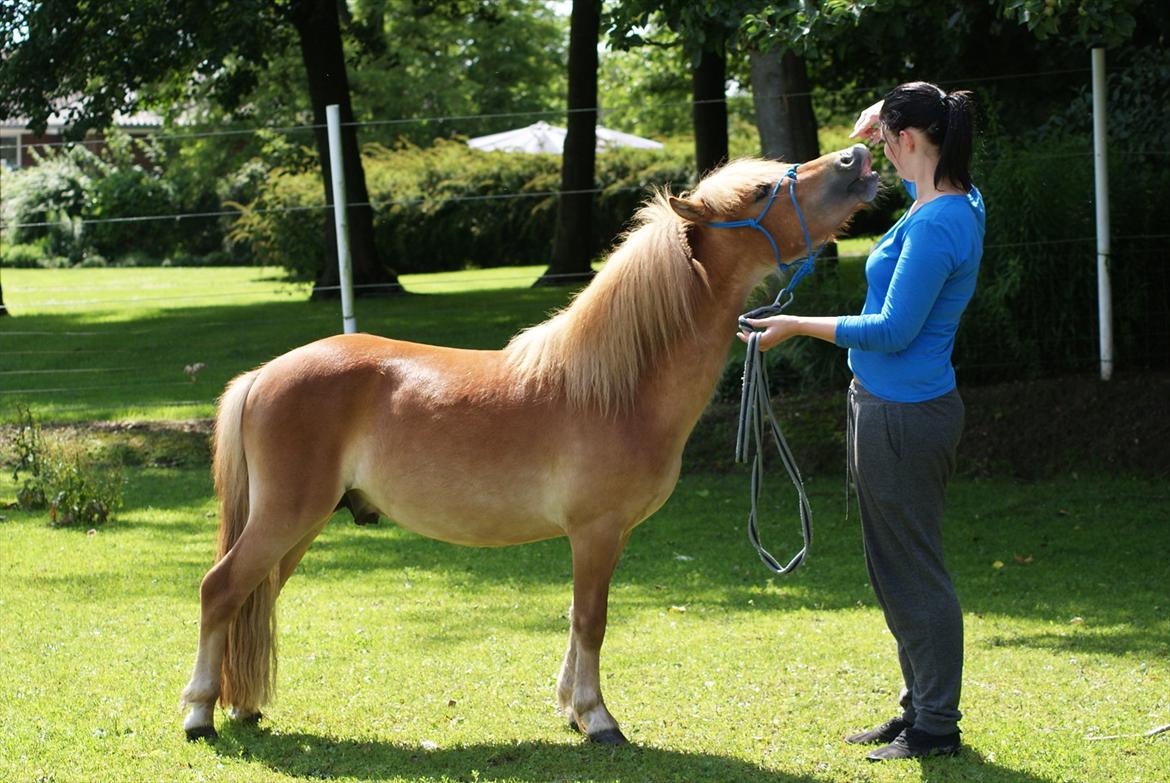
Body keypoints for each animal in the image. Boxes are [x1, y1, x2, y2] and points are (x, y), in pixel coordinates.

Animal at [182, 145, 879, 739]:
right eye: (761, 190)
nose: (858, 158)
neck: (618, 386)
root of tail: (263, 374)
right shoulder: (595, 531)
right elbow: (592, 620)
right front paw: (597, 719)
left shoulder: (605, 536)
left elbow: (576, 619)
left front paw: (571, 708)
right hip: (287, 514)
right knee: (221, 590)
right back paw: (199, 715)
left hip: (301, 523)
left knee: (255, 596)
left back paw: (241, 706)